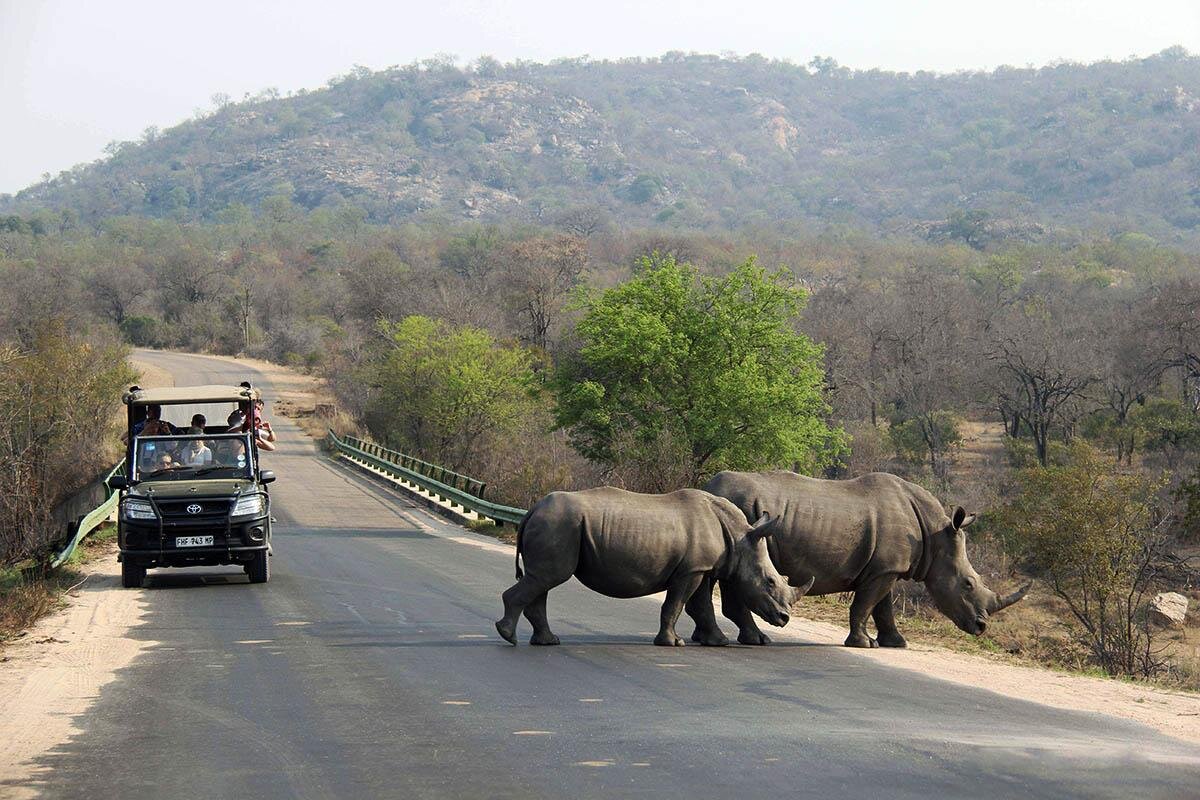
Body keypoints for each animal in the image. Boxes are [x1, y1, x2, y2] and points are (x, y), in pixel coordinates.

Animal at [492, 489, 811, 652]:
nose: (784, 618)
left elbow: (700, 605)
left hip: (557, 525)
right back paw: (509, 637)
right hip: (559, 525)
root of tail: (531, 510)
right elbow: (677, 604)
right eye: (770, 582)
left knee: (542, 579)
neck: (739, 535)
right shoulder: (691, 571)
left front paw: (717, 642)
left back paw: (546, 641)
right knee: (548, 577)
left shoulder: (700, 568)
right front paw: (673, 643)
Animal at [700, 470, 1032, 652]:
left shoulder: (885, 568)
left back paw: (753, 639)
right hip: (745, 514)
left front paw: (897, 643)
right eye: (968, 584)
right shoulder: (885, 569)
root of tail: (710, 489)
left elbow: (882, 607)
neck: (936, 533)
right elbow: (865, 604)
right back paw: (759, 640)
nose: (981, 627)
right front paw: (864, 644)